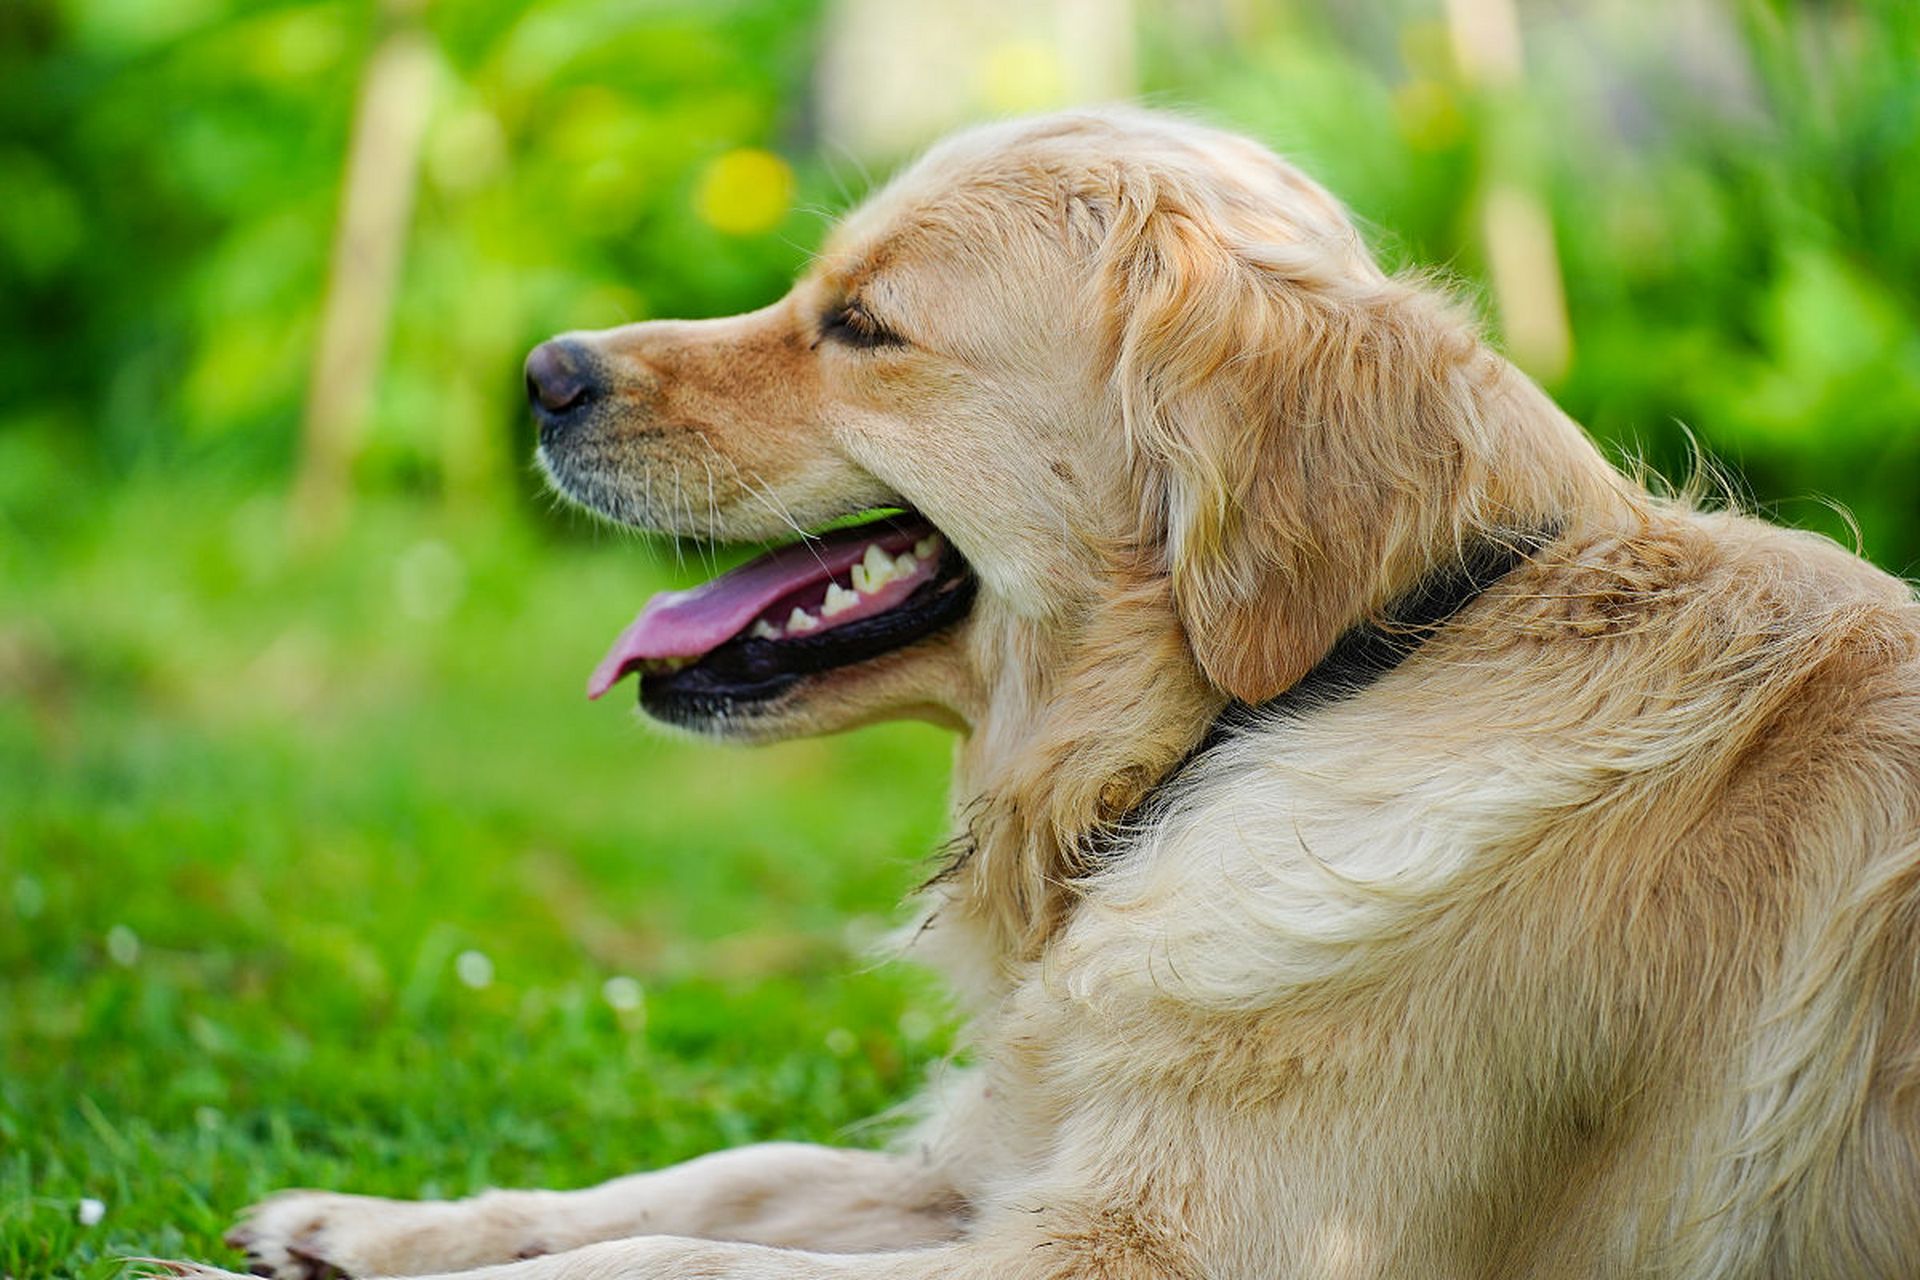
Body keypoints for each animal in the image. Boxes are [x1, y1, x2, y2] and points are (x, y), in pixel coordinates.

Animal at [180, 110, 1920, 1280]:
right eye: (814, 292)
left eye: (863, 326)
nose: (544, 372)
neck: (1299, 703)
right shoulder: (1007, 1157)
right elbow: (720, 1179)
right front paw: (370, 1223)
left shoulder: (1160, 1251)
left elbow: (687, 1254)